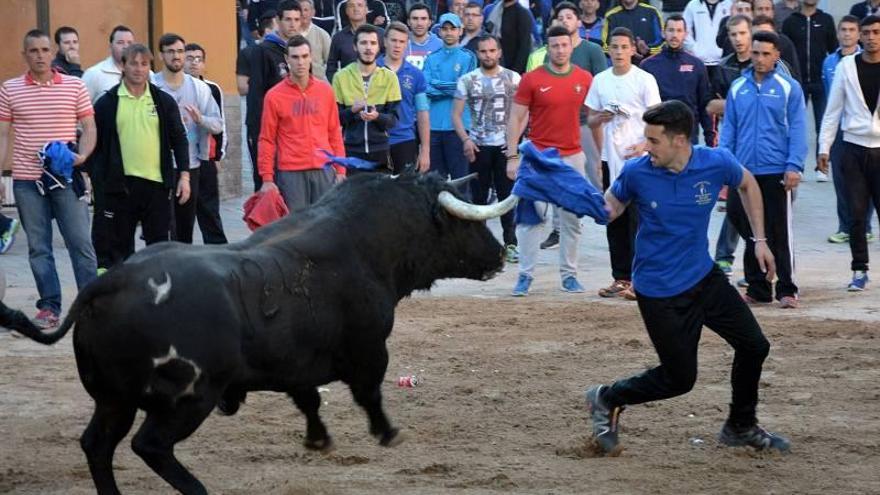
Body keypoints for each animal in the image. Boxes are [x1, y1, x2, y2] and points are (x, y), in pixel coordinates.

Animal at [1, 172, 516, 494]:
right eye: (462, 224)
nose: (497, 255)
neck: (365, 243)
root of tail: (109, 281)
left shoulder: (297, 364)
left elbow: (309, 400)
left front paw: (319, 441)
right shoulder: (371, 348)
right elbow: (369, 393)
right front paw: (387, 434)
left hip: (114, 400)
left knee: (97, 445)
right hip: (188, 399)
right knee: (150, 446)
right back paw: (198, 491)